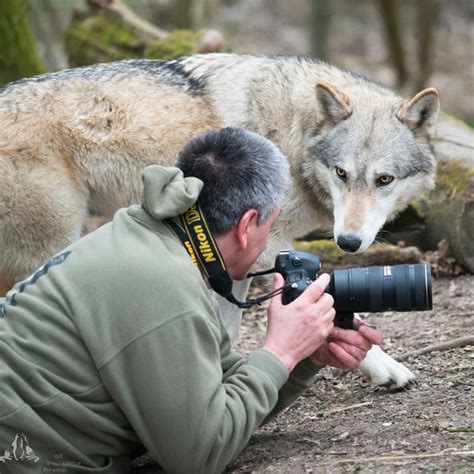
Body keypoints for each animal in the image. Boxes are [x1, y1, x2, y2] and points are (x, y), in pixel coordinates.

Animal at [0, 54, 440, 388]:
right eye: (341, 173)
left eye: (384, 180)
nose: (347, 242)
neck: (294, 136)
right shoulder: (268, 245)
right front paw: (382, 364)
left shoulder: (242, 257)